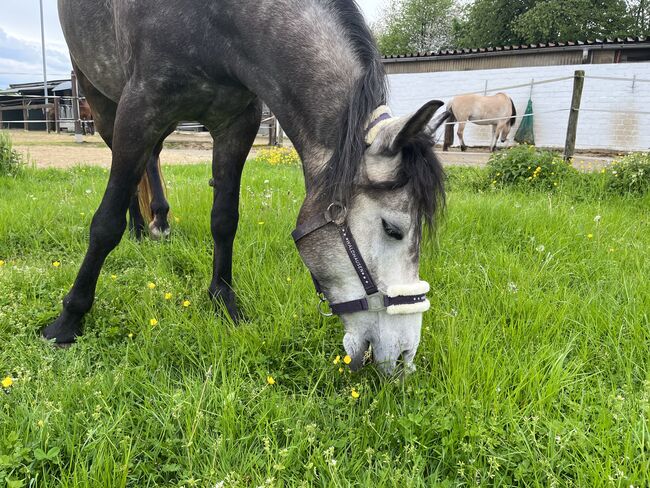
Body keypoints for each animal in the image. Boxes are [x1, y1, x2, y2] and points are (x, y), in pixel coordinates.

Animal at [46, 0, 446, 374]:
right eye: (392, 229)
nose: (404, 356)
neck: (217, 23)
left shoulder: (238, 122)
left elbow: (225, 218)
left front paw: (223, 300)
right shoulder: (139, 107)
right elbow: (105, 224)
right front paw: (68, 319)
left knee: (153, 158)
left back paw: (157, 222)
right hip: (102, 100)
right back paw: (140, 227)